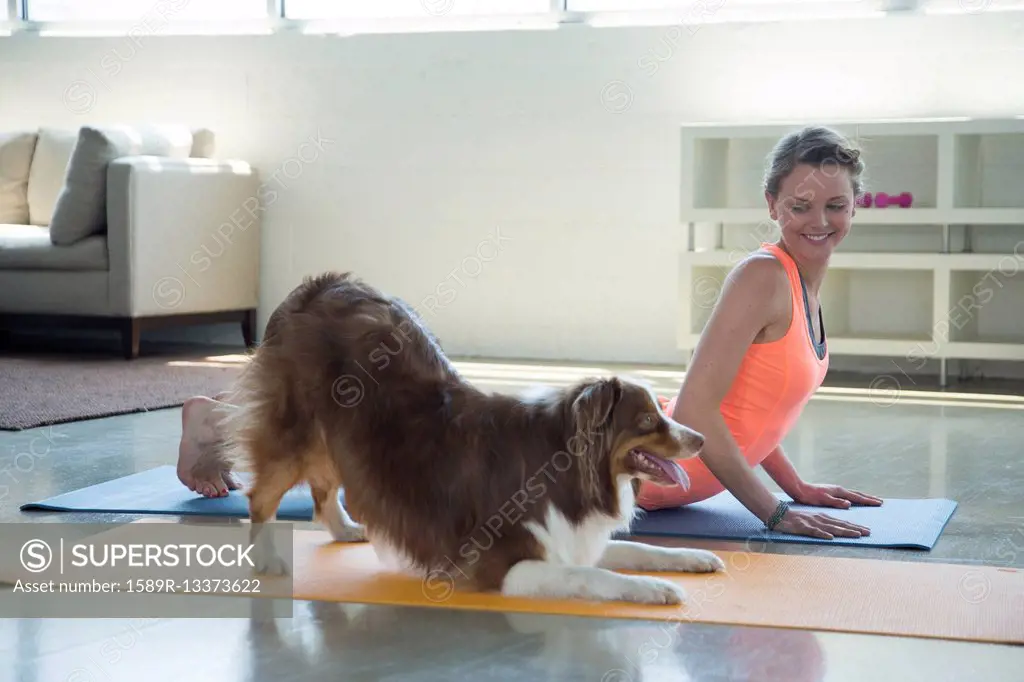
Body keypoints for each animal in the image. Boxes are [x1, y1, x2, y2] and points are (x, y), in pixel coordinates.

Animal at [209, 270, 720, 602]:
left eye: (660, 413)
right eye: (648, 421)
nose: (701, 439)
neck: (569, 463)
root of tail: (315, 285)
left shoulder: (571, 538)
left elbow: (635, 548)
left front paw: (691, 558)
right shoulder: (503, 566)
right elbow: (592, 578)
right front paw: (655, 588)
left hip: (344, 438)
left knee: (322, 488)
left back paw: (345, 529)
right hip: (297, 432)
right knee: (260, 496)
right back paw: (266, 559)